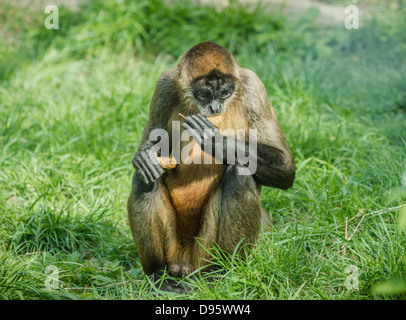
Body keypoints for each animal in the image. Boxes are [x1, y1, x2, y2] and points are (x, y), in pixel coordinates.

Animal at [127, 41, 294, 292]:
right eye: (204, 94)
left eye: (224, 92)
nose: (215, 108)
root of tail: (186, 263)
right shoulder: (164, 85)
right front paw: (144, 156)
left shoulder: (253, 85)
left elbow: (286, 169)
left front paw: (217, 142)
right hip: (175, 247)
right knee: (144, 178)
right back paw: (159, 276)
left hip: (205, 251)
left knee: (240, 172)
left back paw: (223, 274)